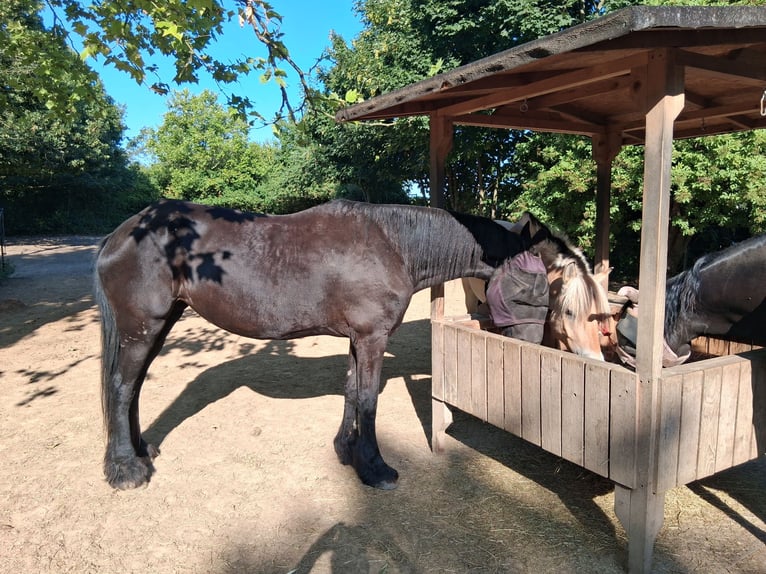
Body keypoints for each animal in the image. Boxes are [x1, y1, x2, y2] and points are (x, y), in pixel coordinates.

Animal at [94, 199, 541, 491]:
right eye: (529, 282)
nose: (537, 346)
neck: (394, 245)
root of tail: (122, 233)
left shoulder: (358, 339)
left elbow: (352, 392)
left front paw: (347, 452)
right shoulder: (373, 338)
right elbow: (368, 400)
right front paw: (376, 469)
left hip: (158, 326)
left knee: (133, 389)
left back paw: (141, 451)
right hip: (141, 328)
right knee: (121, 388)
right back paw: (126, 470)